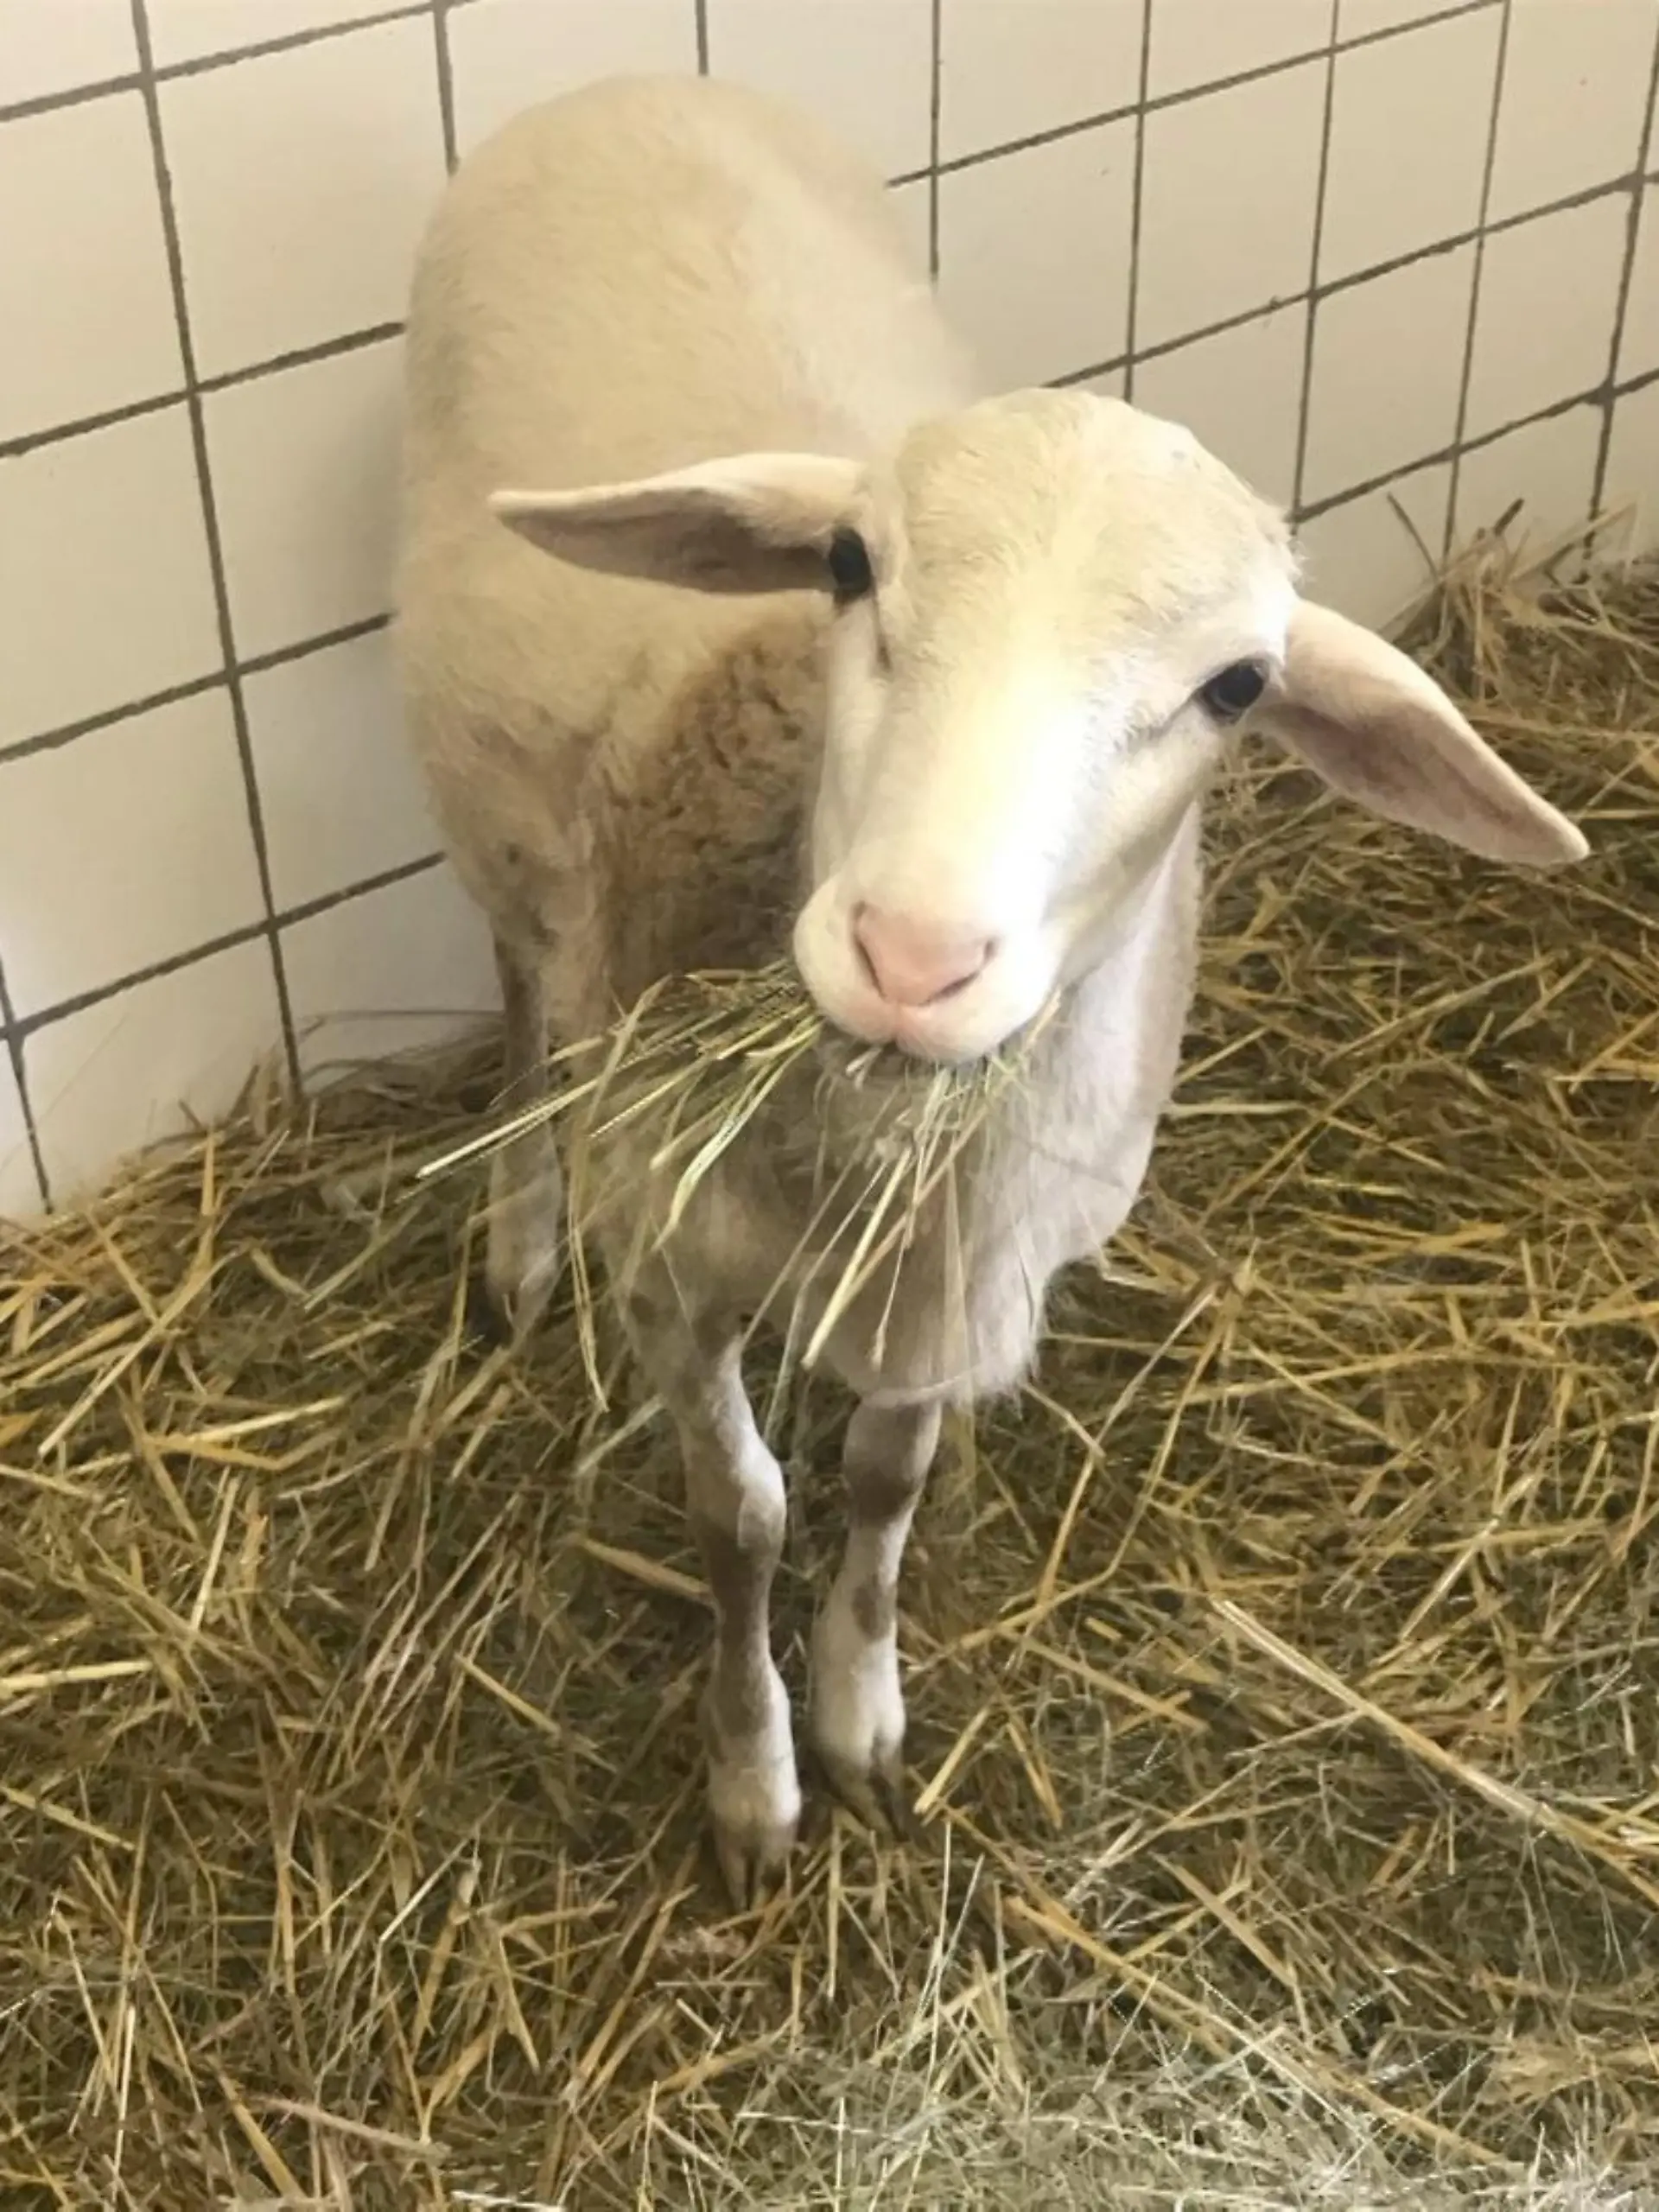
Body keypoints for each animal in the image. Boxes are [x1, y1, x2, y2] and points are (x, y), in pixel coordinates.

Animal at [395, 73, 1588, 1903]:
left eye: (1237, 688)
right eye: (843, 568)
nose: (910, 959)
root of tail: (634, 85)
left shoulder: (956, 1285)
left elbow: (878, 1486)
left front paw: (863, 1712)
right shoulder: (673, 1250)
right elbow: (740, 1515)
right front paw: (754, 1786)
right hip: (498, 827)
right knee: (528, 1010)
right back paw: (520, 1232)